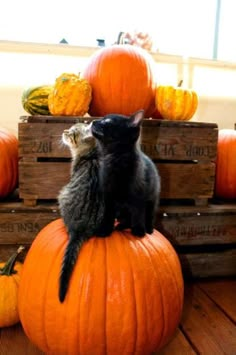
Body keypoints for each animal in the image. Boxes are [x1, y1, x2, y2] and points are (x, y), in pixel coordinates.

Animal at [91, 110, 161, 238]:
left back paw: (148, 229)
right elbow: (107, 215)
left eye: (107, 121)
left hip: (152, 200)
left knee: (149, 216)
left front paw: (139, 230)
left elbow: (138, 214)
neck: (116, 159)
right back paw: (121, 226)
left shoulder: (139, 196)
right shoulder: (108, 197)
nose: (93, 121)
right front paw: (104, 230)